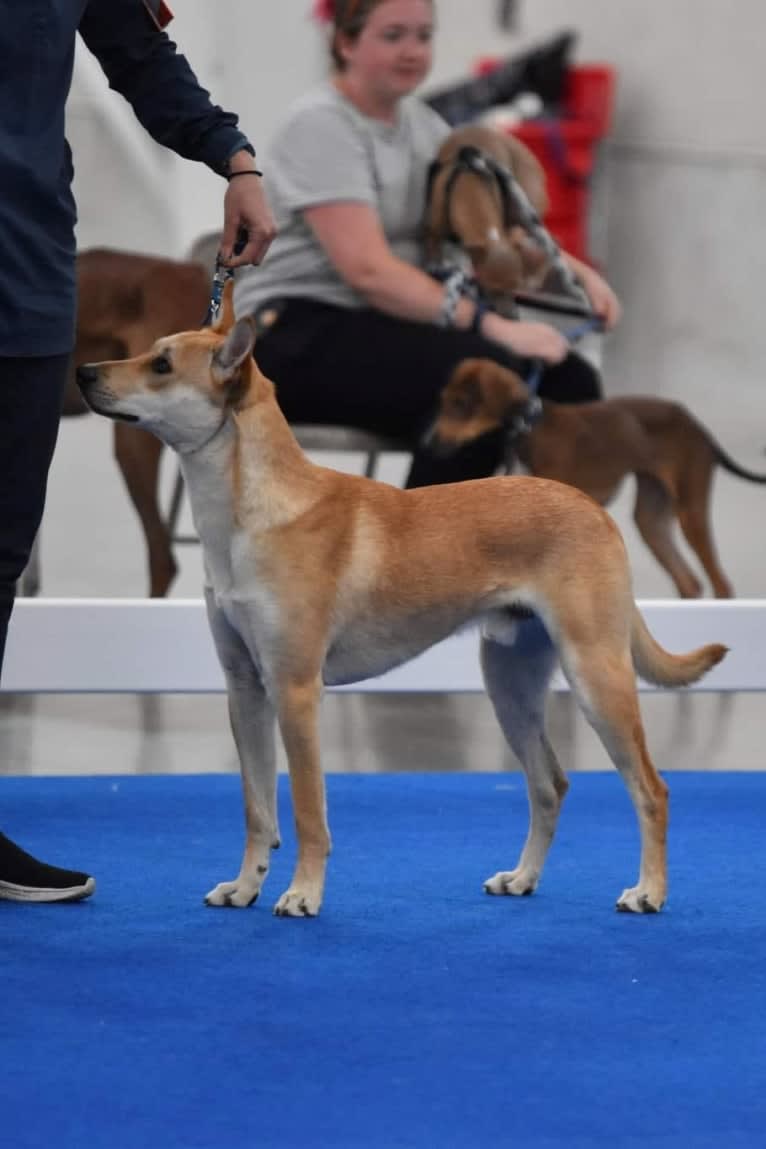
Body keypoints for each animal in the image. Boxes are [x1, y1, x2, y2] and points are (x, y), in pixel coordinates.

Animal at [79, 282, 730, 919]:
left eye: (161, 365)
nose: (84, 372)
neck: (249, 515)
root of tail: (594, 509)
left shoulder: (295, 690)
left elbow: (307, 811)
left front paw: (302, 894)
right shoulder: (244, 687)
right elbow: (257, 809)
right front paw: (243, 889)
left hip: (596, 676)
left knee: (651, 789)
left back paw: (648, 892)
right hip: (510, 683)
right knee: (550, 784)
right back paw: (521, 879)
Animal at [431, 360, 766, 602]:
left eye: (460, 404)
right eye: (445, 401)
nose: (431, 445)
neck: (531, 428)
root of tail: (699, 429)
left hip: (690, 511)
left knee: (721, 585)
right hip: (651, 520)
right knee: (690, 583)